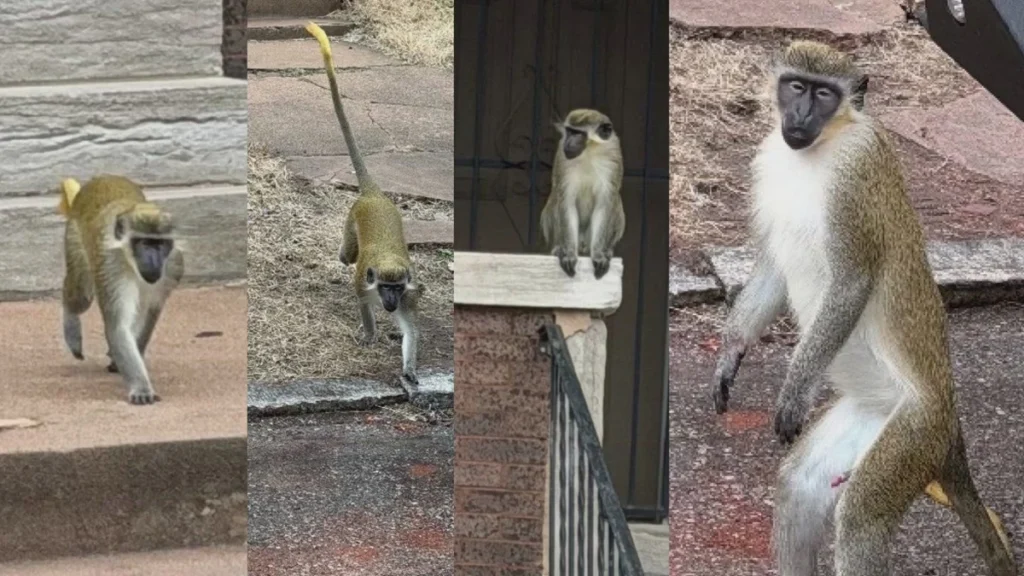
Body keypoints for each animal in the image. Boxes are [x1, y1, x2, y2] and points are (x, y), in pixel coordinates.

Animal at [59, 175, 184, 405]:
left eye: (160, 244)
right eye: (143, 243)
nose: (154, 261)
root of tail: (103, 177)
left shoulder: (173, 265)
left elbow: (150, 314)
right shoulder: (110, 266)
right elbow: (118, 327)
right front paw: (141, 388)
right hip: (73, 236)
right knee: (81, 294)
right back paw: (71, 321)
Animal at [306, 22, 420, 385]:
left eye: (396, 288)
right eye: (384, 287)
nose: (390, 302)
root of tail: (374, 195)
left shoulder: (409, 294)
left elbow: (410, 329)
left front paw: (409, 368)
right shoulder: (364, 284)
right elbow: (363, 304)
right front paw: (370, 334)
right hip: (351, 221)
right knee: (347, 255)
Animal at [540, 108, 624, 279]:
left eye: (578, 133)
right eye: (569, 131)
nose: (568, 142)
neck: (589, 152)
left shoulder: (613, 156)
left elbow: (604, 204)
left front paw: (598, 254)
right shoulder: (562, 156)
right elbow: (566, 202)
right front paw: (569, 253)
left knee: (616, 201)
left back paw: (606, 250)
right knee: (556, 197)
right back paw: (559, 248)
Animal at [709, 41, 1016, 575]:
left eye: (824, 94)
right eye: (796, 85)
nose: (801, 116)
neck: (820, 148)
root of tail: (950, 422)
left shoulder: (856, 172)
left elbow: (851, 282)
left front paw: (795, 389)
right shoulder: (767, 160)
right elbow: (772, 269)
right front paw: (732, 353)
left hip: (914, 433)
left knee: (859, 518)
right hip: (870, 420)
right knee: (799, 488)